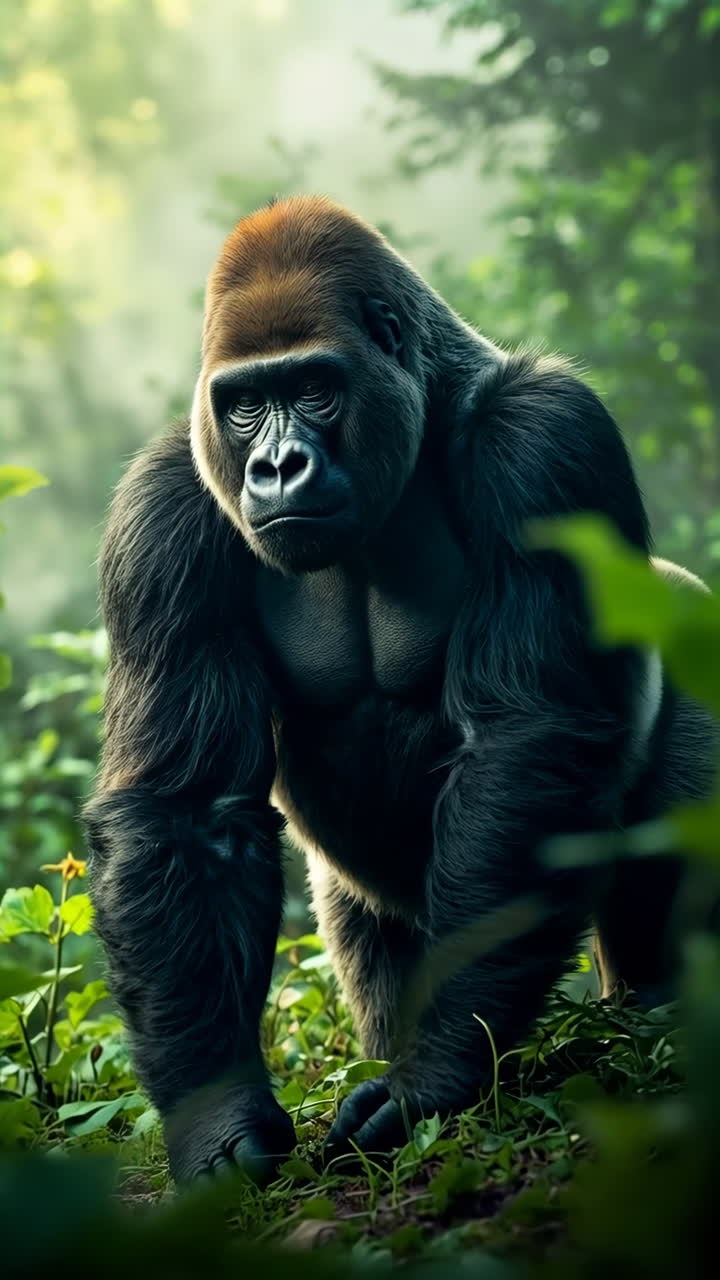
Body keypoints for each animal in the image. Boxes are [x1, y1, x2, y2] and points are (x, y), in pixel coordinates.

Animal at [83, 196, 716, 1183]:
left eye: (313, 388)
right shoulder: (162, 512)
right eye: (243, 405)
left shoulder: (545, 438)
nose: (276, 468)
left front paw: (435, 1074)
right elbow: (183, 804)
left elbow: (524, 735)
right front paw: (218, 1118)